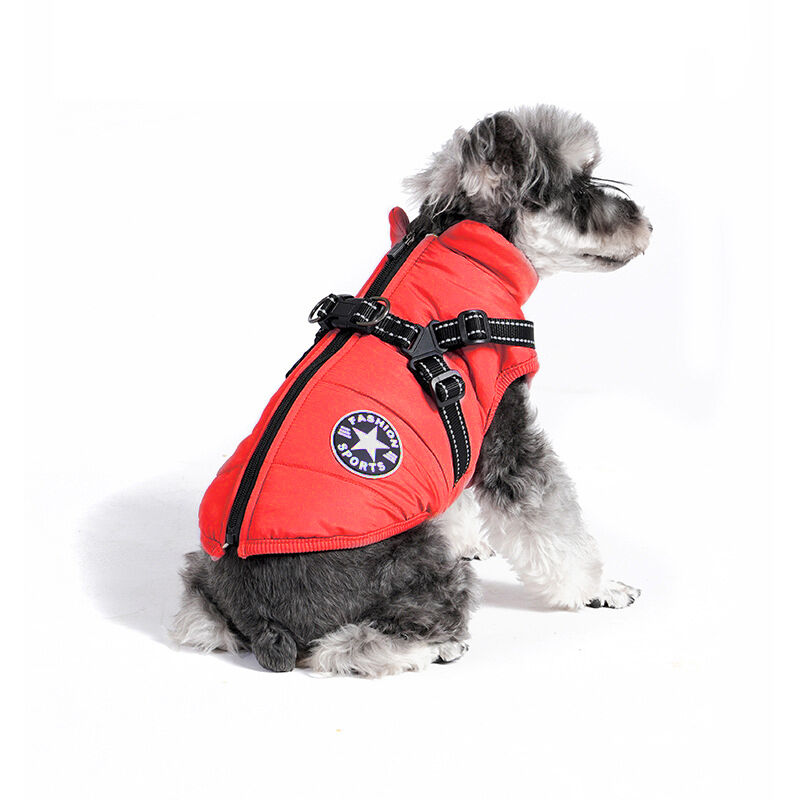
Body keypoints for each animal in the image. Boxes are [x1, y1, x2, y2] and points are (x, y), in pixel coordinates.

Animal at [172, 105, 652, 677]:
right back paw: (437, 645)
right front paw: (600, 588)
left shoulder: (461, 431)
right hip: (412, 567)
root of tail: (264, 620)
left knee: (199, 617)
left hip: (201, 577)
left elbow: (454, 494)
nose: (647, 224)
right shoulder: (506, 435)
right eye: (577, 187)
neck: (463, 252)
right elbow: (554, 521)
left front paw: (465, 540)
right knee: (350, 645)